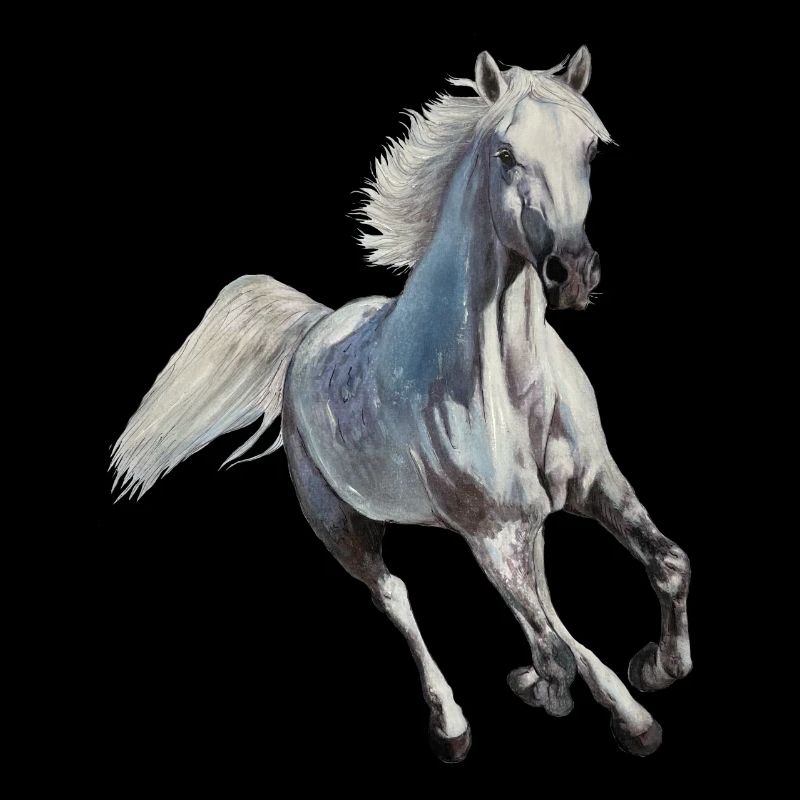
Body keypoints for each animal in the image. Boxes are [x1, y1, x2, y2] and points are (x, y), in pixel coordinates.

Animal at [111, 47, 692, 762]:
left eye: (589, 151)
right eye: (505, 153)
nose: (572, 272)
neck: (506, 388)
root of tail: (313, 329)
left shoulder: (595, 485)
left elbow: (665, 565)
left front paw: (654, 668)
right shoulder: (494, 532)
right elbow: (562, 643)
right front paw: (623, 714)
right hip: (339, 523)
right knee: (395, 595)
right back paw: (452, 726)